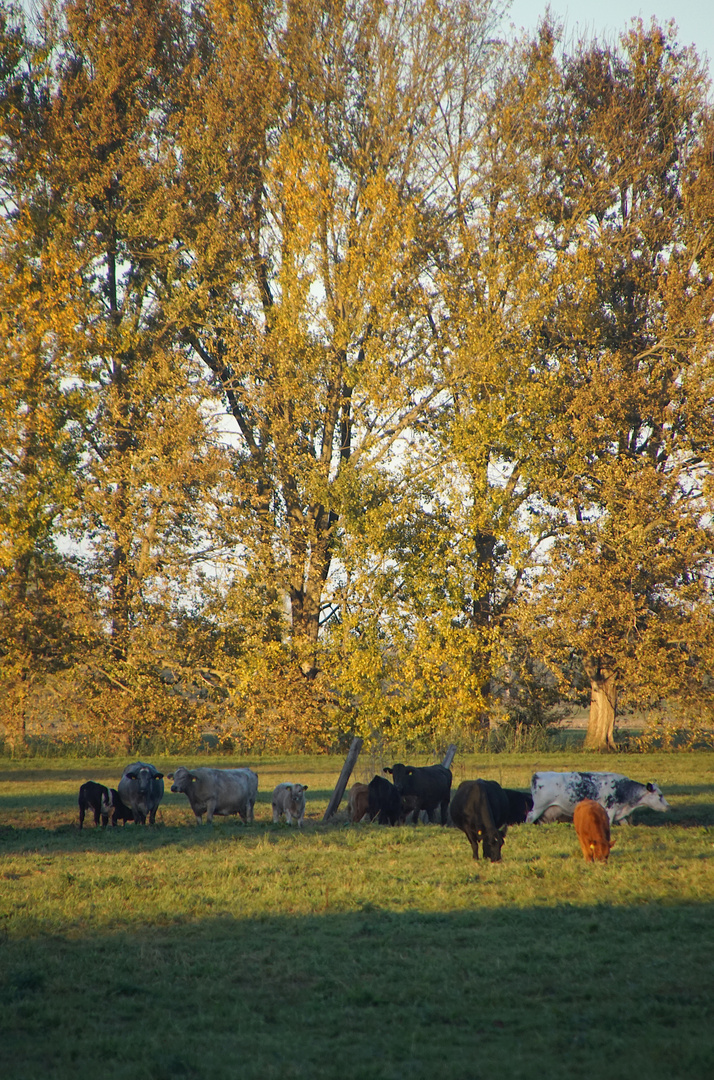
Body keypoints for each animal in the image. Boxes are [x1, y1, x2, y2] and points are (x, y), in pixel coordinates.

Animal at [522, 768, 669, 825]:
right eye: (660, 795)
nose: (668, 806)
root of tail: (538, 774)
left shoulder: (620, 813)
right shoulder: (609, 810)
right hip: (539, 808)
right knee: (529, 817)